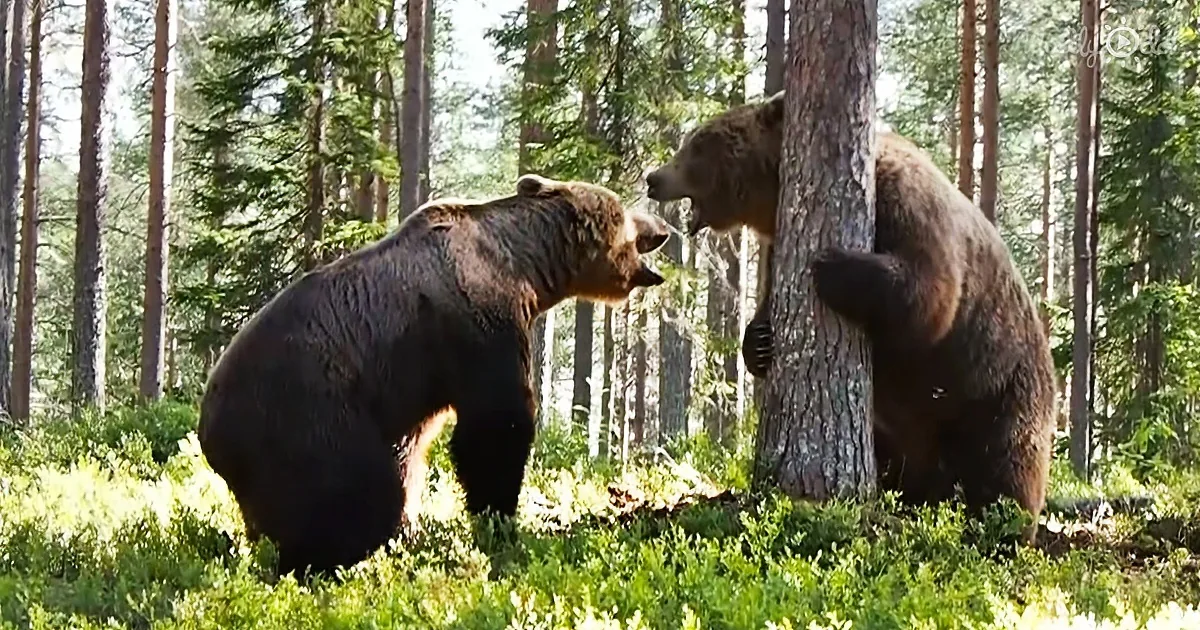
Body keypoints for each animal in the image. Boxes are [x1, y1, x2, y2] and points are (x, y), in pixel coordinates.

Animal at [197, 174, 671, 578]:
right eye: (626, 213)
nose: (664, 226)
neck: (523, 267)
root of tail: (209, 430)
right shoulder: (476, 324)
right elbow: (495, 428)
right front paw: (499, 524)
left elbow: (421, 446)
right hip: (305, 414)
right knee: (353, 491)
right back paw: (325, 560)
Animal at [644, 90, 1057, 541]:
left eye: (698, 142)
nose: (653, 178)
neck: (774, 201)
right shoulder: (776, 245)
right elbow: (770, 300)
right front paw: (759, 342)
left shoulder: (904, 205)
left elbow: (928, 292)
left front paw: (829, 264)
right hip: (901, 429)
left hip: (999, 386)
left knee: (1005, 463)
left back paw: (998, 529)